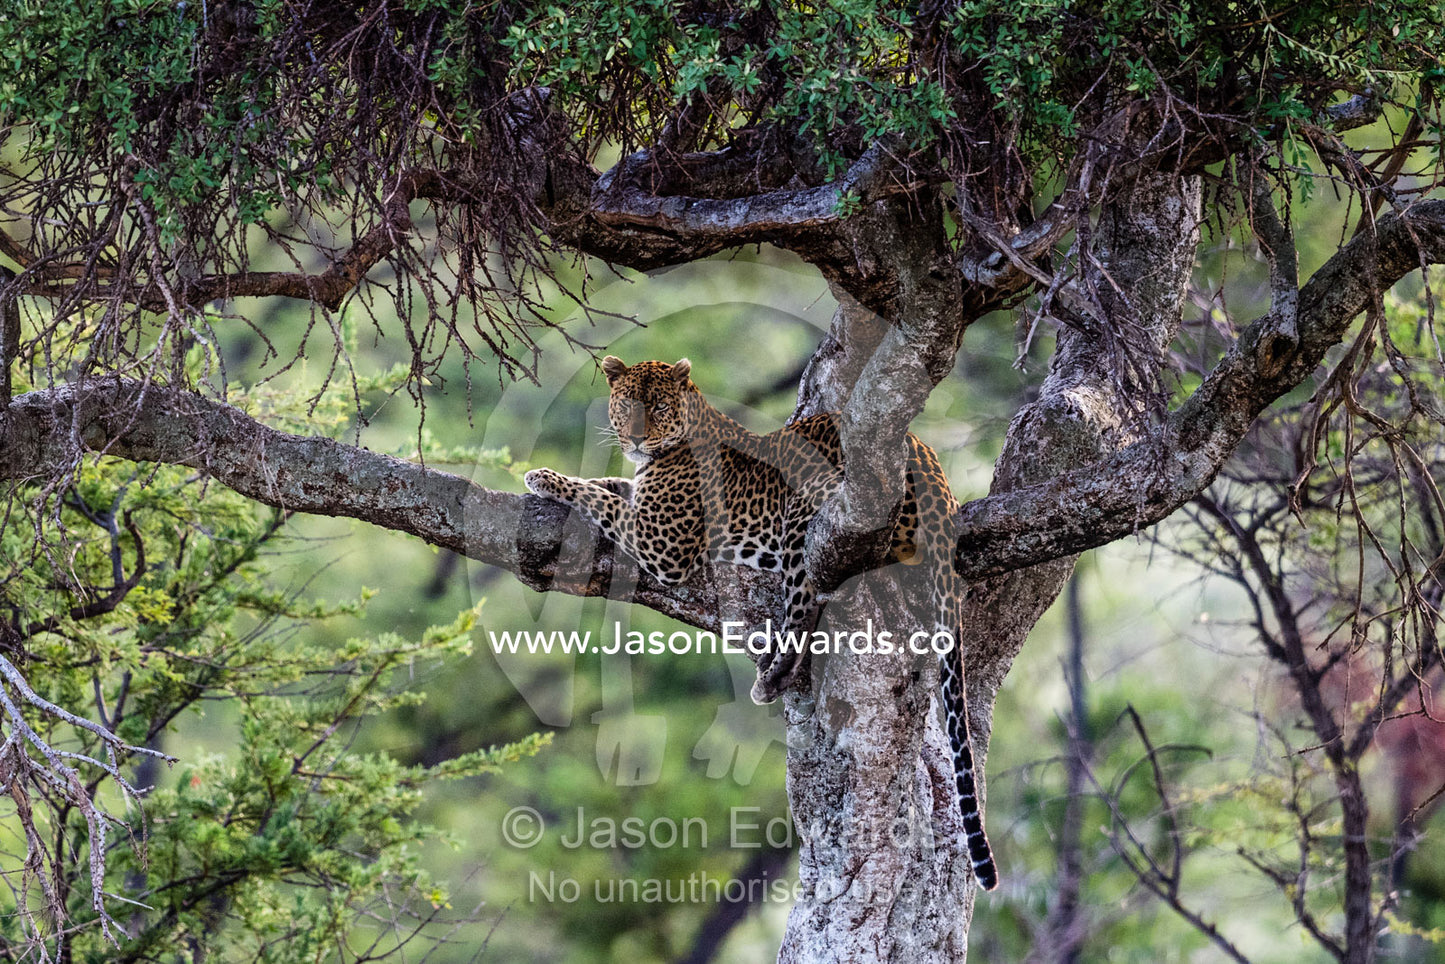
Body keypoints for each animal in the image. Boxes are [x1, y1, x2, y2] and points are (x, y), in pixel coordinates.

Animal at [524, 356, 999, 890]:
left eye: (660, 406)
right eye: (628, 404)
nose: (638, 439)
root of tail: (923, 453)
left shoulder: (661, 542)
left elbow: (598, 499)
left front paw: (543, 477)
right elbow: (611, 489)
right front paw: (587, 478)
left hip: (805, 517)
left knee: (806, 601)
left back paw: (774, 676)